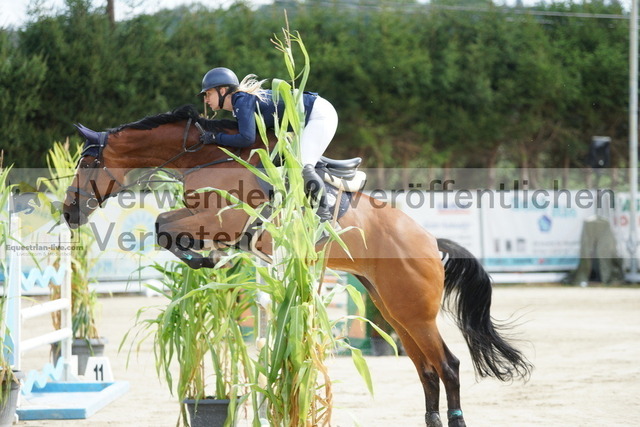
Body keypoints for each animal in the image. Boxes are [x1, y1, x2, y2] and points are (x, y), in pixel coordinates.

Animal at [63, 105, 528, 426]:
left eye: (87, 163)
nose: (69, 212)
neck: (210, 157)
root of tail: (431, 242)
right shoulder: (204, 217)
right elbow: (165, 227)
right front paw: (208, 259)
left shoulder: (225, 218)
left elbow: (164, 226)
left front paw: (206, 258)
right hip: (397, 311)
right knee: (427, 370)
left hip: (415, 313)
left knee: (447, 367)